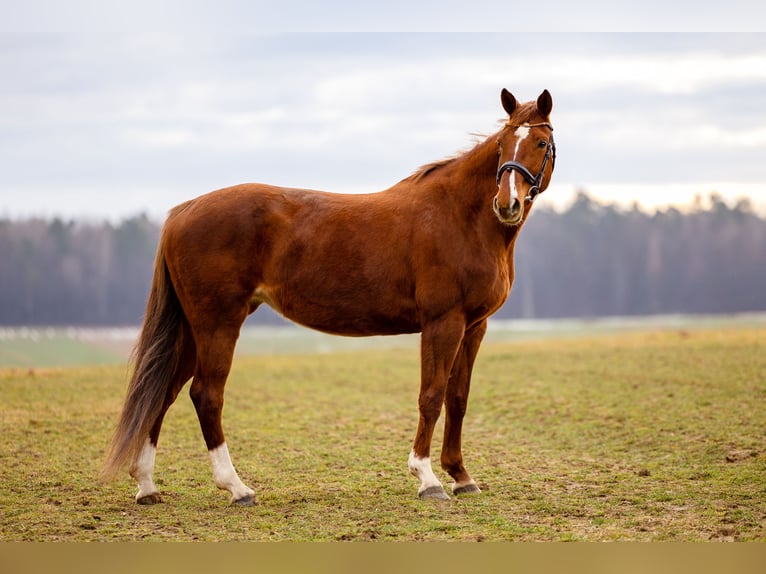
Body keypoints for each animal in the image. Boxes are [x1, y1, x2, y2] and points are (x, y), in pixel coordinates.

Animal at [102, 88, 556, 505]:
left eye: (539, 143)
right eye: (502, 144)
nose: (507, 203)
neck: (460, 216)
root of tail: (183, 211)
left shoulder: (474, 325)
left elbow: (457, 398)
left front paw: (461, 476)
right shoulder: (443, 323)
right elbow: (431, 397)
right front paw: (428, 479)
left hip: (193, 328)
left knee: (164, 392)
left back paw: (147, 485)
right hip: (218, 323)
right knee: (206, 395)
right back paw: (236, 487)